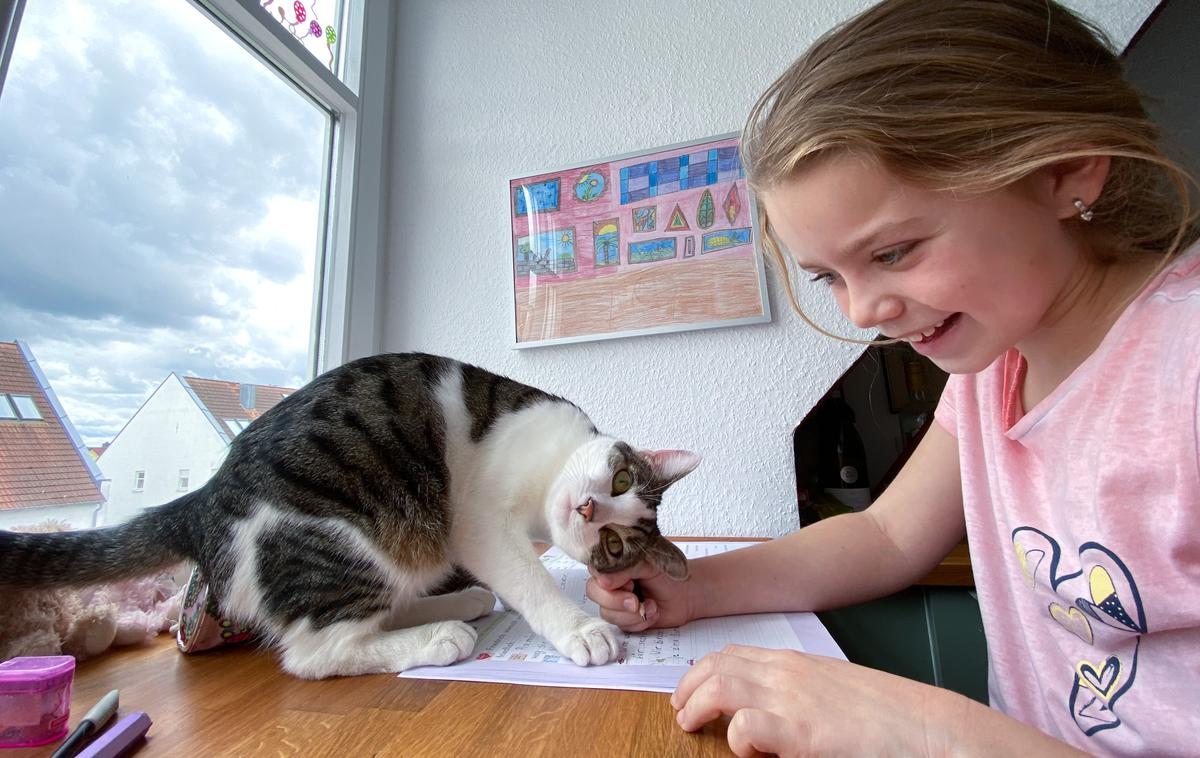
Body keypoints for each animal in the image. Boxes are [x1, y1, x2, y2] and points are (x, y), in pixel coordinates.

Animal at [0, 355, 696, 681]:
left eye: (613, 545)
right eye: (620, 479)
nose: (587, 507)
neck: (540, 501)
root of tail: (206, 500)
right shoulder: (478, 520)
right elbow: (531, 580)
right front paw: (582, 629)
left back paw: (458, 604)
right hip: (349, 538)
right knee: (314, 653)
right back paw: (440, 636)